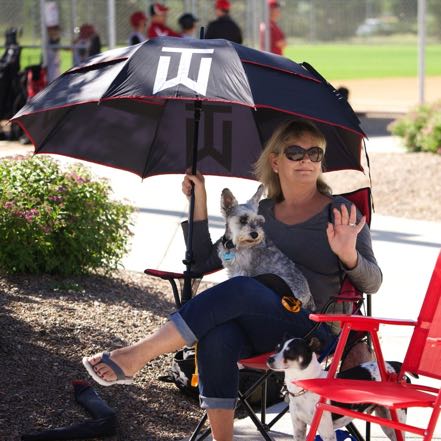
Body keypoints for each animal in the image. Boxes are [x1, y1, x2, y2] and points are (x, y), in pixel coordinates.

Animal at [216, 184, 312, 312]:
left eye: (259, 221)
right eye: (243, 219)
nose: (255, 234)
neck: (234, 245)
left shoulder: (240, 271)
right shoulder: (232, 270)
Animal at [264, 336, 406, 440]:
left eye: (291, 351)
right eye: (277, 348)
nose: (269, 359)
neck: (303, 389)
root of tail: (394, 366)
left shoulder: (327, 432)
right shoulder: (299, 428)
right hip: (387, 423)